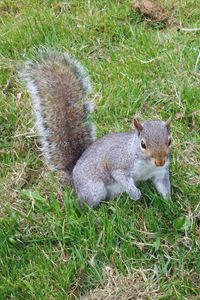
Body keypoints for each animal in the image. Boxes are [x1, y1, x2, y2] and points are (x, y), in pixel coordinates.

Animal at [21, 51, 172, 206]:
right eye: (143, 144)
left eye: (169, 141)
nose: (160, 161)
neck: (146, 163)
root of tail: (74, 178)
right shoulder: (118, 162)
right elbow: (119, 175)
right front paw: (135, 194)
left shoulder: (160, 173)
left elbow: (163, 187)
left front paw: (169, 204)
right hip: (94, 189)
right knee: (86, 204)